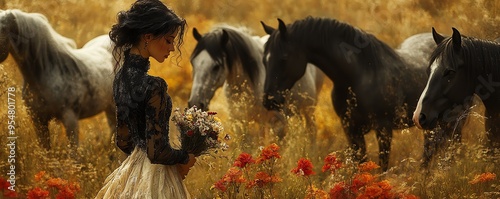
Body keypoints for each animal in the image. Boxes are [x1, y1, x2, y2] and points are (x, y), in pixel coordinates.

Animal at [188, 24, 324, 140]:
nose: (195, 102)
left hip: (308, 111)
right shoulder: (240, 123)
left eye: (216, 66)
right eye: (193, 63)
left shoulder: (272, 122)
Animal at [262, 16, 468, 171]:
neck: (358, 76)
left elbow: (382, 166)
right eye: (264, 60)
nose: (269, 101)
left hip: (454, 122)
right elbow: (360, 164)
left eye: (284, 58)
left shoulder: (383, 129)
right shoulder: (351, 130)